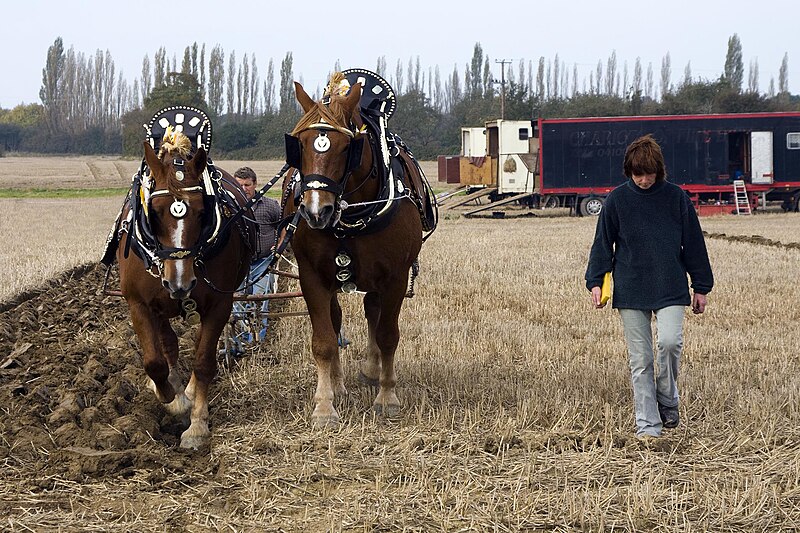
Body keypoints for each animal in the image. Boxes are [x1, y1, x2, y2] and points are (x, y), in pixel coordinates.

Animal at [116, 131, 250, 446]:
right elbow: (155, 361)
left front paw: (197, 424)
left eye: (201, 211)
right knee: (168, 345)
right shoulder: (138, 303)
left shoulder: (220, 304)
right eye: (154, 212)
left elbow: (203, 362)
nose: (180, 283)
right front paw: (173, 401)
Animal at [286, 78, 428, 428]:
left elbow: (388, 334)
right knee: (337, 320)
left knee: (373, 311)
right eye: (299, 145)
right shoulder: (311, 276)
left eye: (346, 147)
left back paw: (372, 370)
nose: (316, 211)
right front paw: (325, 406)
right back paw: (338, 384)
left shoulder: (395, 277)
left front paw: (387, 397)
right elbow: (323, 341)